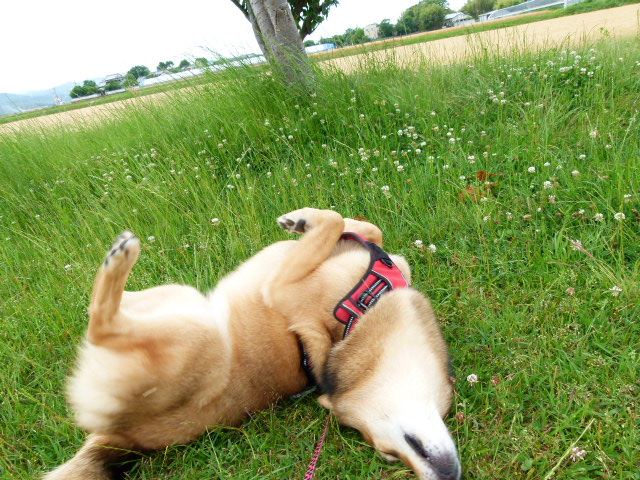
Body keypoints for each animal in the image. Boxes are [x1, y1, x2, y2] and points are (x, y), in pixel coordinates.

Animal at [48, 208, 460, 480]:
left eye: (387, 456)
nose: (448, 477)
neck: (359, 319)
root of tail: (123, 437)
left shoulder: (282, 288)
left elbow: (343, 224)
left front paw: (310, 222)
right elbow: (356, 225)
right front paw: (304, 220)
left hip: (196, 333)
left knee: (101, 324)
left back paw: (119, 264)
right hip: (185, 305)